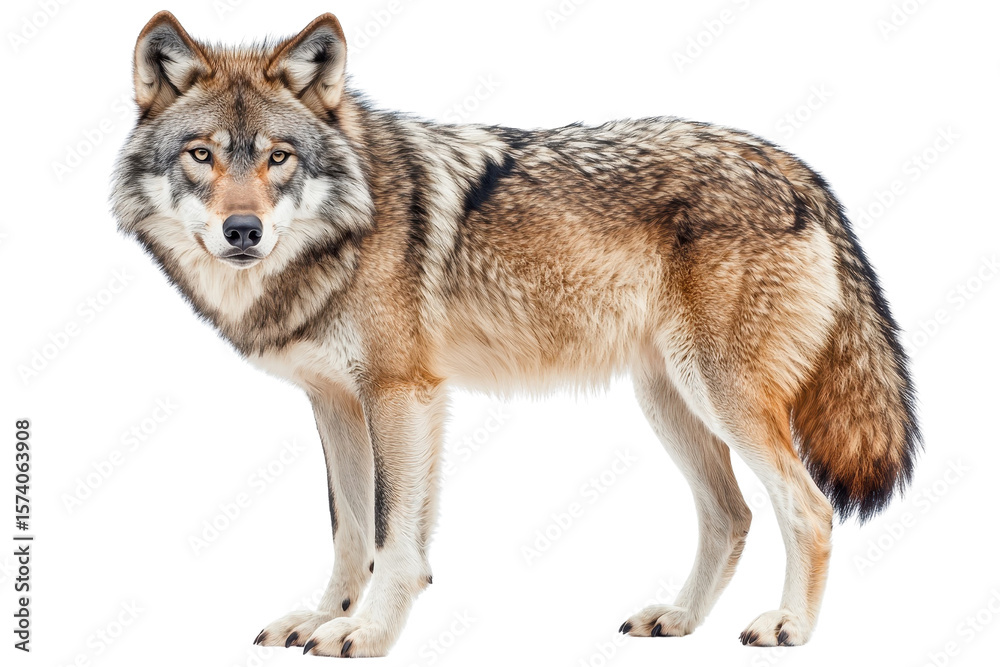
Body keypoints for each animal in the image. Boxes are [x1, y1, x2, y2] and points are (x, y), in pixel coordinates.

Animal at [111, 11, 920, 657]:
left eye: (279, 157)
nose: (242, 231)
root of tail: (790, 163)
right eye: (202, 154)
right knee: (732, 515)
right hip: (669, 402)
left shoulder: (401, 394)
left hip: (722, 396)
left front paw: (364, 634)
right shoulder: (336, 403)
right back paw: (680, 619)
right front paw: (320, 618)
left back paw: (790, 626)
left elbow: (392, 537)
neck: (346, 227)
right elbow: (349, 532)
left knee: (808, 509)